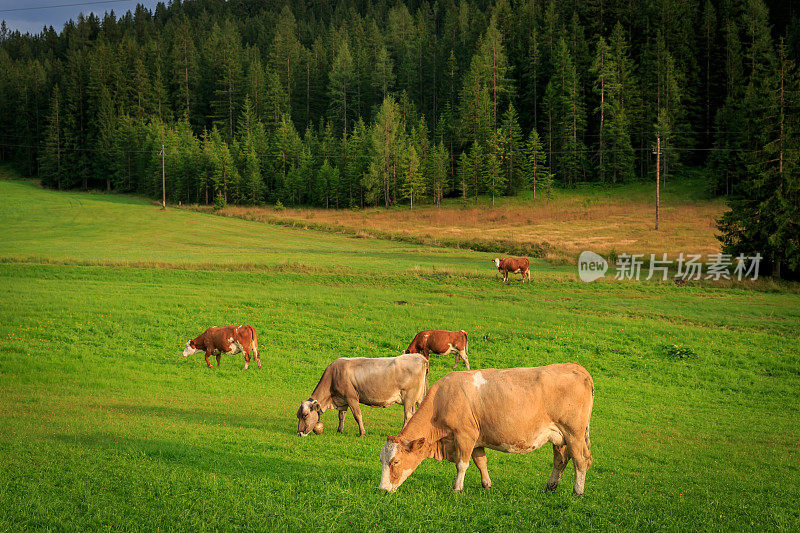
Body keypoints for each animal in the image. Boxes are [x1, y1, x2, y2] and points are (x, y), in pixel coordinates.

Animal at [296, 354, 432, 436]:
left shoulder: (351, 397)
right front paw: (339, 431)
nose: (299, 433)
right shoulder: (342, 400)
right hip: (418, 398)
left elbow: (357, 415)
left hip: (409, 396)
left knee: (408, 415)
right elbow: (341, 416)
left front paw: (362, 433)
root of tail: (420, 357)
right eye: (298, 415)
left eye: (305, 415)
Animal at [380, 362, 592, 494]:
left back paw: (578, 492)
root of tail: (576, 367)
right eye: (382, 459)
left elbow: (462, 464)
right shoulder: (477, 438)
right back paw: (550, 487)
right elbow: (481, 461)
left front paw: (457, 488)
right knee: (560, 461)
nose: (382, 490)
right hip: (559, 438)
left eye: (395, 462)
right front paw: (487, 485)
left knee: (581, 461)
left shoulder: (465, 435)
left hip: (574, 434)